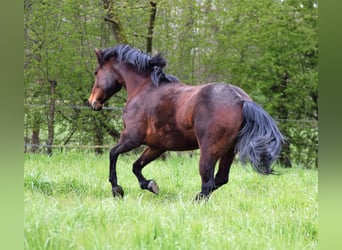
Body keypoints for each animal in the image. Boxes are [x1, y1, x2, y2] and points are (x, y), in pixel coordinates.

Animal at [88, 45, 284, 200]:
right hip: (228, 152)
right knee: (220, 179)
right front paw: (150, 185)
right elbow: (136, 166)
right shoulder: (157, 146)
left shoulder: (131, 138)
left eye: (96, 72)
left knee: (207, 182)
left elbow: (113, 154)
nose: (93, 102)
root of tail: (241, 100)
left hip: (208, 151)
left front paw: (117, 190)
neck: (144, 89)